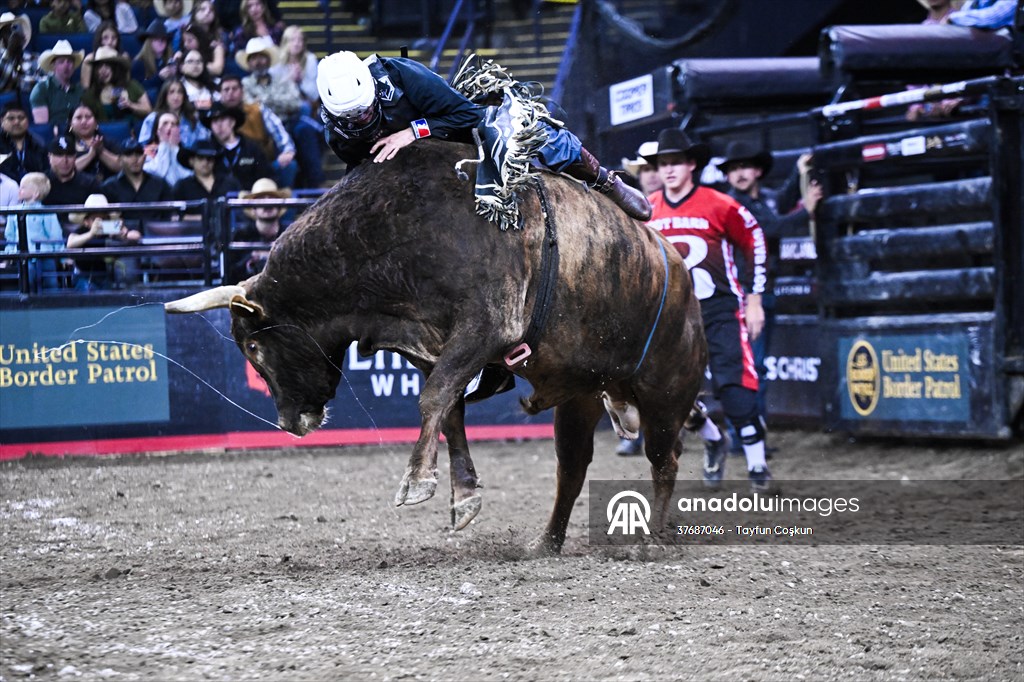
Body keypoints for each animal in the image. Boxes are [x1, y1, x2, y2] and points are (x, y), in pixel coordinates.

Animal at [166, 139, 706, 555]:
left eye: (254, 350)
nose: (288, 423)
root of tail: (681, 274)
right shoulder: (429, 345)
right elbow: (447, 409)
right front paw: (463, 495)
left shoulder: (486, 325)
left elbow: (435, 398)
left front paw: (416, 482)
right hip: (580, 398)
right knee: (572, 468)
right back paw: (547, 542)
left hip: (665, 394)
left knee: (664, 459)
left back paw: (653, 539)